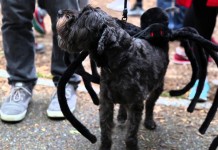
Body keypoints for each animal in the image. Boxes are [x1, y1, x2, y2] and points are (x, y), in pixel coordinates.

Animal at [56, 5, 170, 149]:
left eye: (83, 15)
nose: (60, 12)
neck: (122, 60)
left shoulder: (135, 105)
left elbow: (131, 134)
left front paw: (132, 146)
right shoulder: (106, 101)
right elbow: (105, 129)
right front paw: (104, 146)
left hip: (158, 86)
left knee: (150, 103)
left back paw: (149, 122)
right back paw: (121, 115)